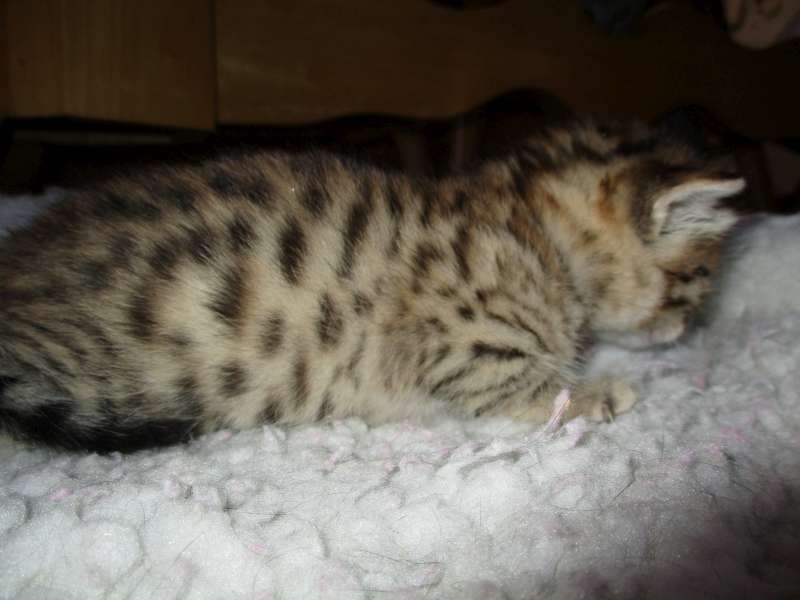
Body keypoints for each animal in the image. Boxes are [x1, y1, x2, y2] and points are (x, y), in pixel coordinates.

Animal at [0, 117, 744, 453]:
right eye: (696, 283)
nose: (689, 327)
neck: (533, 228)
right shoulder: (462, 346)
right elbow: (527, 388)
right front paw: (595, 392)